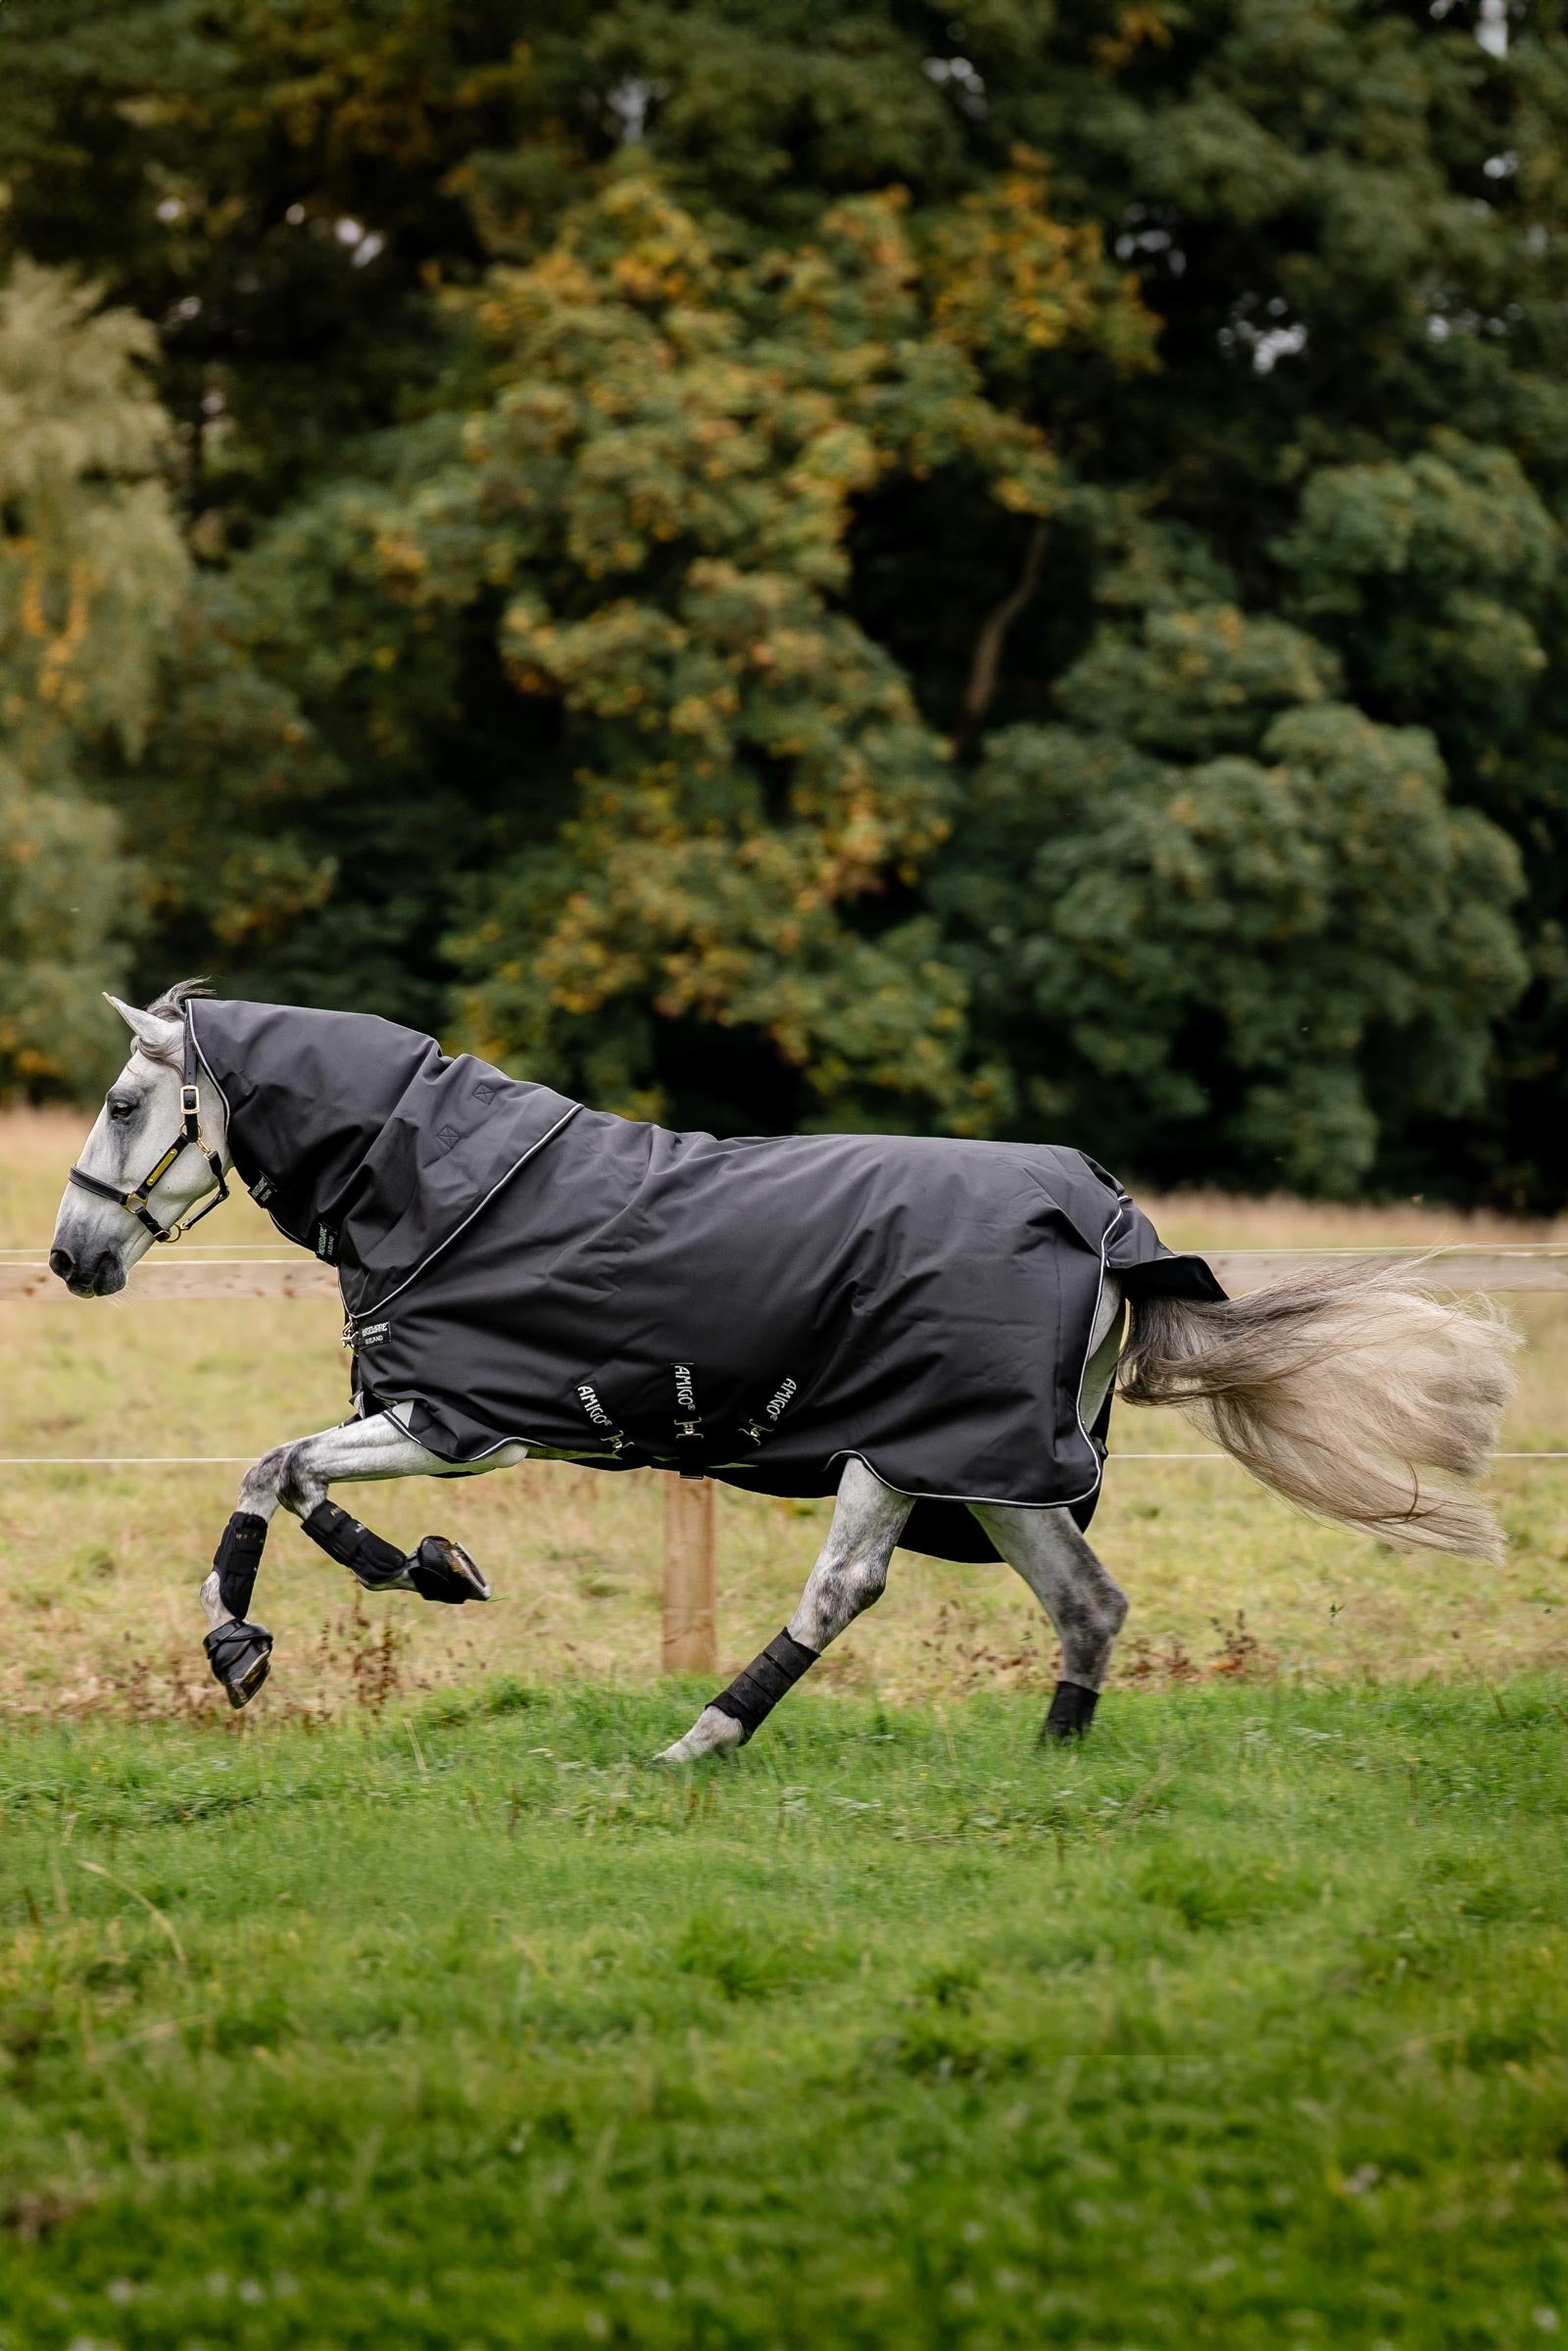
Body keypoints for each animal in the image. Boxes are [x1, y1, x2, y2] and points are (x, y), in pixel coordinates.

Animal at [49, 985, 1518, 1757]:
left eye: (123, 1104)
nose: (70, 1257)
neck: (442, 1176)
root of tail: (1115, 1230)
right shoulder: (436, 1419)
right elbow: (299, 1478)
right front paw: (427, 1569)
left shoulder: (461, 1420)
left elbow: (270, 1467)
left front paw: (240, 1644)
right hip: (991, 1470)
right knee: (1090, 1603)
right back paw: (1054, 1760)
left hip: (905, 1450)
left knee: (842, 1587)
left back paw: (701, 1738)